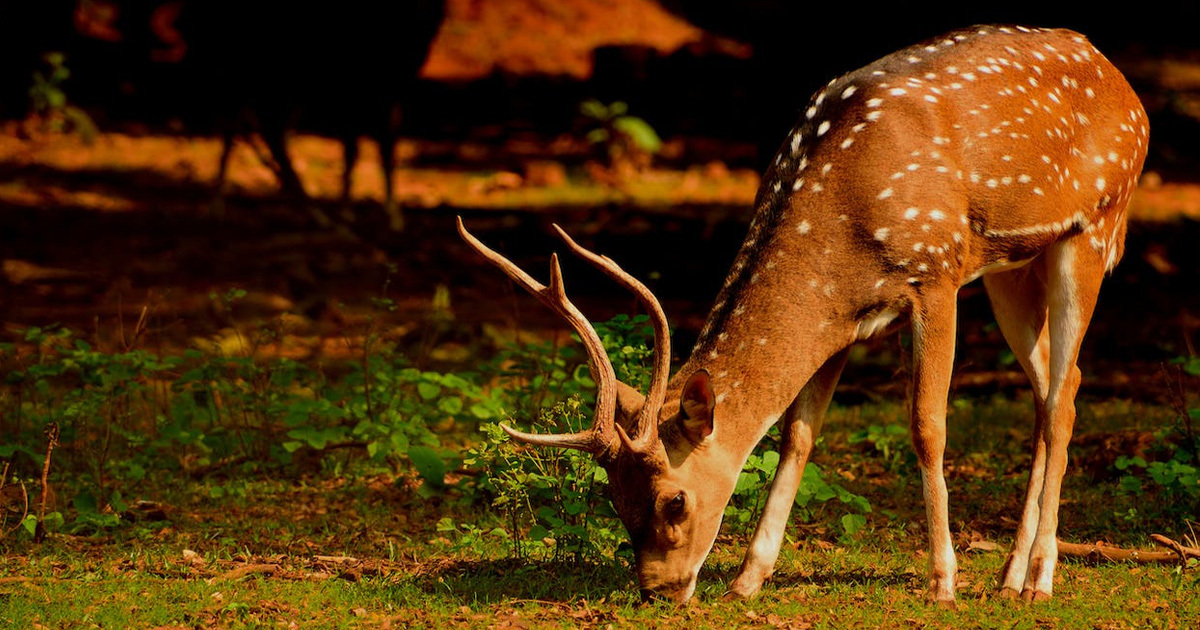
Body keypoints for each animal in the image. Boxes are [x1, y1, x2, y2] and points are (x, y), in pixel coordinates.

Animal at [456, 24, 1142, 604]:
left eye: (675, 503)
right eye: (615, 501)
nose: (658, 589)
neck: (839, 227)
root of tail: (1122, 81)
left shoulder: (936, 274)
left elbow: (927, 426)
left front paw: (943, 581)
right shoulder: (845, 320)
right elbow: (798, 434)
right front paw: (748, 578)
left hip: (1094, 228)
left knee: (1064, 398)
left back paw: (1040, 579)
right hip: (1012, 268)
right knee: (1054, 391)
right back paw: (1008, 576)